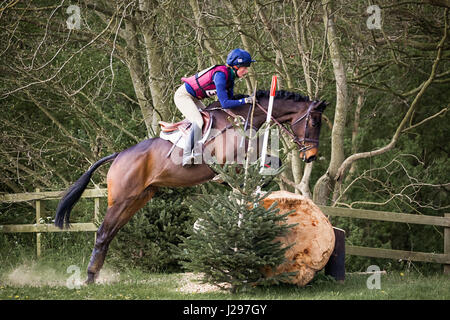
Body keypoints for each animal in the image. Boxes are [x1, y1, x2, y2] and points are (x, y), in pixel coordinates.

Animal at [54, 89, 326, 284]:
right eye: (314, 123)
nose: (311, 156)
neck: (243, 120)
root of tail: (119, 155)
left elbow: (270, 163)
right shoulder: (229, 164)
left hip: (138, 198)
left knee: (110, 233)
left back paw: (94, 275)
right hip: (122, 198)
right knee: (102, 233)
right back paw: (90, 278)